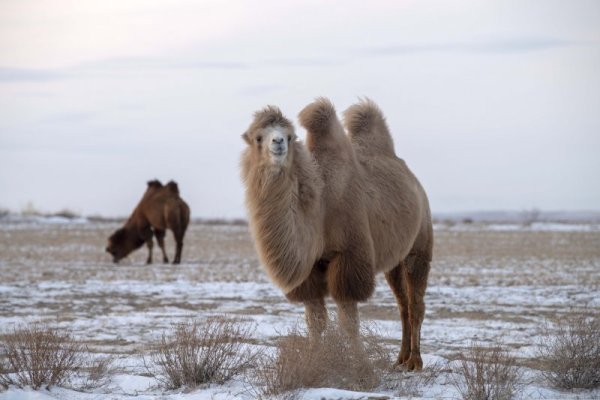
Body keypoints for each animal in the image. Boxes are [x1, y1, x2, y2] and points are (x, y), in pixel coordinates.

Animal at [239, 98, 432, 370]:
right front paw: (313, 361)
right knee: (402, 303)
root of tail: (415, 182)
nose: (277, 143)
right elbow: (315, 321)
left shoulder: (349, 256)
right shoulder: (309, 268)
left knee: (416, 303)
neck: (319, 208)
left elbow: (348, 322)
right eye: (258, 137)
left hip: (420, 242)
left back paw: (415, 361)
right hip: (394, 259)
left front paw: (362, 365)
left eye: (290, 136)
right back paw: (400, 358)